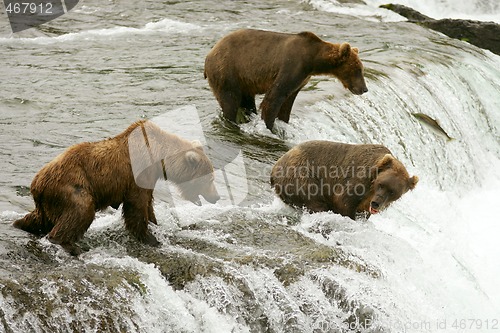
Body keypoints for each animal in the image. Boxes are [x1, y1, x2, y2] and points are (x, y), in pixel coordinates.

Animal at [13, 120, 220, 255]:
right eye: (210, 178)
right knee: (81, 210)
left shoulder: (149, 178)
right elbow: (137, 205)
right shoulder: (137, 174)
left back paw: (22, 225)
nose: (216, 197)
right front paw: (149, 238)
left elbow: (148, 203)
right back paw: (70, 245)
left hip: (49, 200)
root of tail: (36, 183)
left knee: (40, 218)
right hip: (72, 186)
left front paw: (155, 224)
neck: (158, 155)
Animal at [203, 28, 368, 130]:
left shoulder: (301, 79)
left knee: (247, 101)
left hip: (243, 80)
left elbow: (288, 101)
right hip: (227, 71)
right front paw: (269, 126)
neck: (313, 60)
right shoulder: (292, 66)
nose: (364, 89)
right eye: (358, 70)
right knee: (230, 101)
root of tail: (210, 53)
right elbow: (274, 97)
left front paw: (283, 121)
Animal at [270, 141, 418, 219]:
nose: (376, 203)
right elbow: (343, 200)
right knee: (313, 199)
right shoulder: (358, 179)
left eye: (393, 192)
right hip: (301, 175)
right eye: (381, 184)